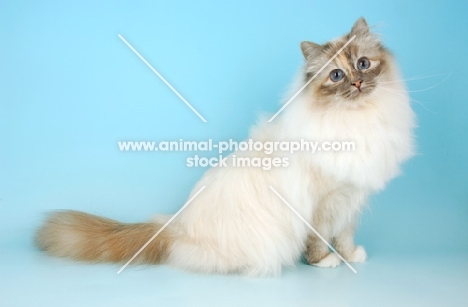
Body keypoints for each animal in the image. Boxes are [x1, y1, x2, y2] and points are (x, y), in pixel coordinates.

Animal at [35, 18, 414, 278]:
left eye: (363, 64)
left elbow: (345, 234)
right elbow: (319, 240)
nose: (357, 83)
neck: (358, 120)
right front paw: (326, 262)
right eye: (336, 76)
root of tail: (176, 226)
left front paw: (351, 255)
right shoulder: (322, 203)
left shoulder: (351, 197)